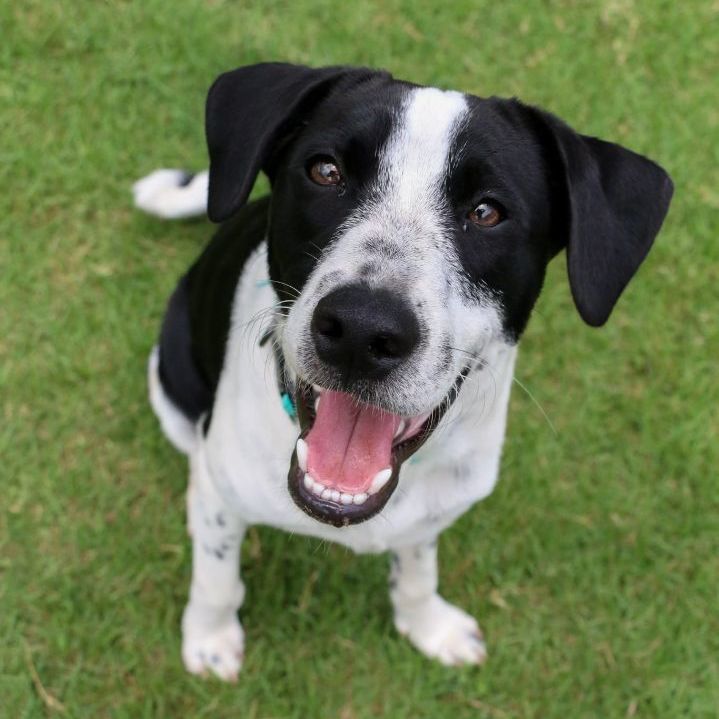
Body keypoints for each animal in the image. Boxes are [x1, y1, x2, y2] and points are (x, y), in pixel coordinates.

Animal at [134, 62, 676, 680]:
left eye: (487, 211)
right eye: (325, 171)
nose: (361, 331)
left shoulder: (434, 514)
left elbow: (418, 569)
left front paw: (428, 625)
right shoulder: (224, 497)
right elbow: (217, 575)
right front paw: (209, 639)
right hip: (170, 375)